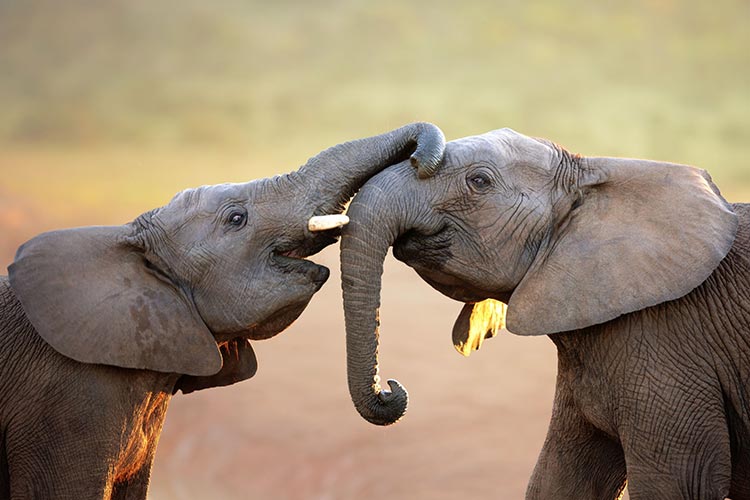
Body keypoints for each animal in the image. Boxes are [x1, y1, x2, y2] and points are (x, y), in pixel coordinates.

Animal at [339, 127, 750, 500]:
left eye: (479, 181)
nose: (390, 389)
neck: (593, 177)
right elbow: (560, 478)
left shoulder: (668, 341)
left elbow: (677, 482)